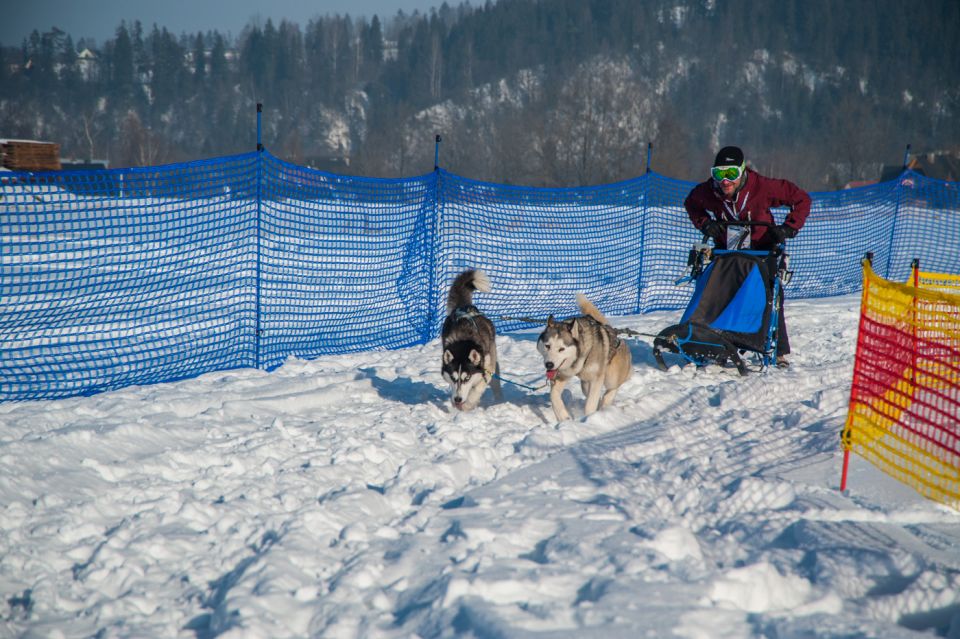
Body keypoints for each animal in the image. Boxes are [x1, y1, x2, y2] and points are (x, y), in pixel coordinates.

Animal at [440, 268, 502, 410]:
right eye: (453, 378)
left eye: (467, 378)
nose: (457, 399)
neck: (464, 341)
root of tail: (465, 307)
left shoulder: (487, 369)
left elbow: (477, 388)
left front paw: (468, 404)